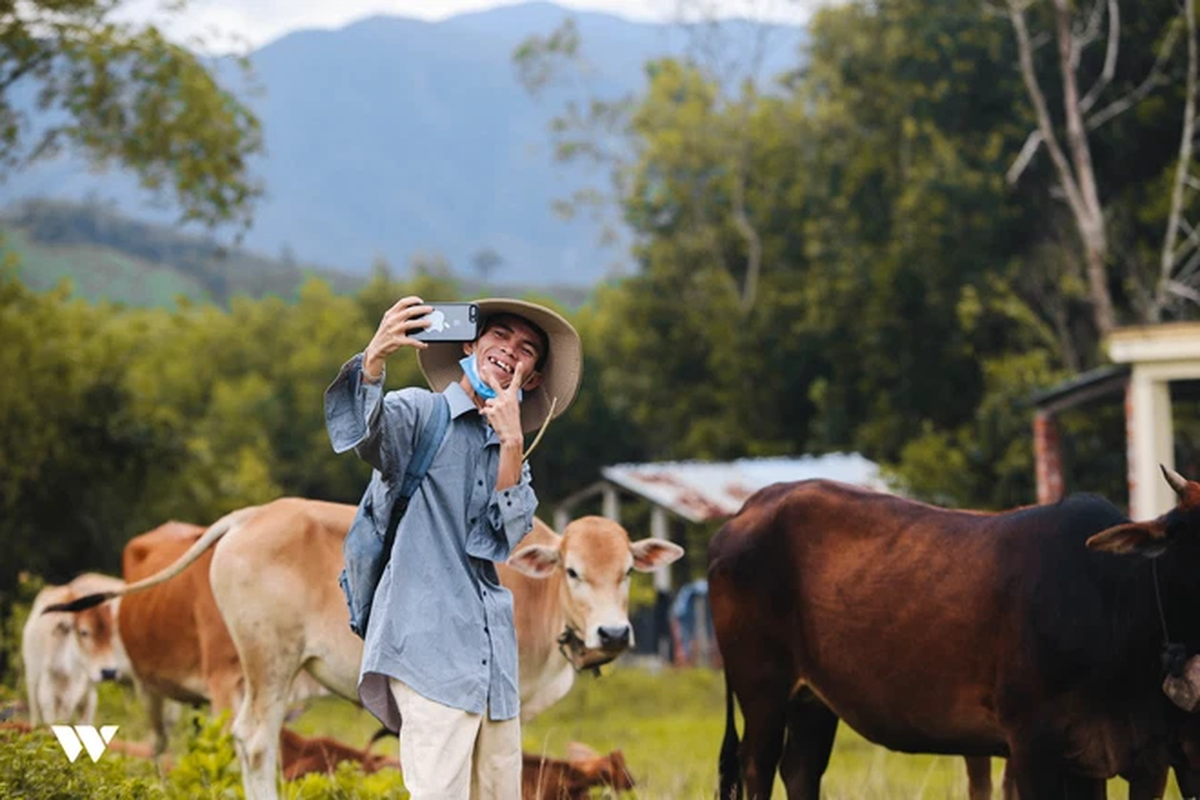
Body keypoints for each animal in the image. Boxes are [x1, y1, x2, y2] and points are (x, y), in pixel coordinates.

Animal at [58, 501, 686, 800]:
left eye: (628, 571)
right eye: (573, 571)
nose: (614, 634)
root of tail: (254, 515)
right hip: (267, 664)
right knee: (254, 741)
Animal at [705, 470, 1200, 800]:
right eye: (1186, 533)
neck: (1117, 602)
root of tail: (747, 511)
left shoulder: (1146, 759)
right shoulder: (1033, 745)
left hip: (812, 701)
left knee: (801, 769)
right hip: (762, 688)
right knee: (758, 767)